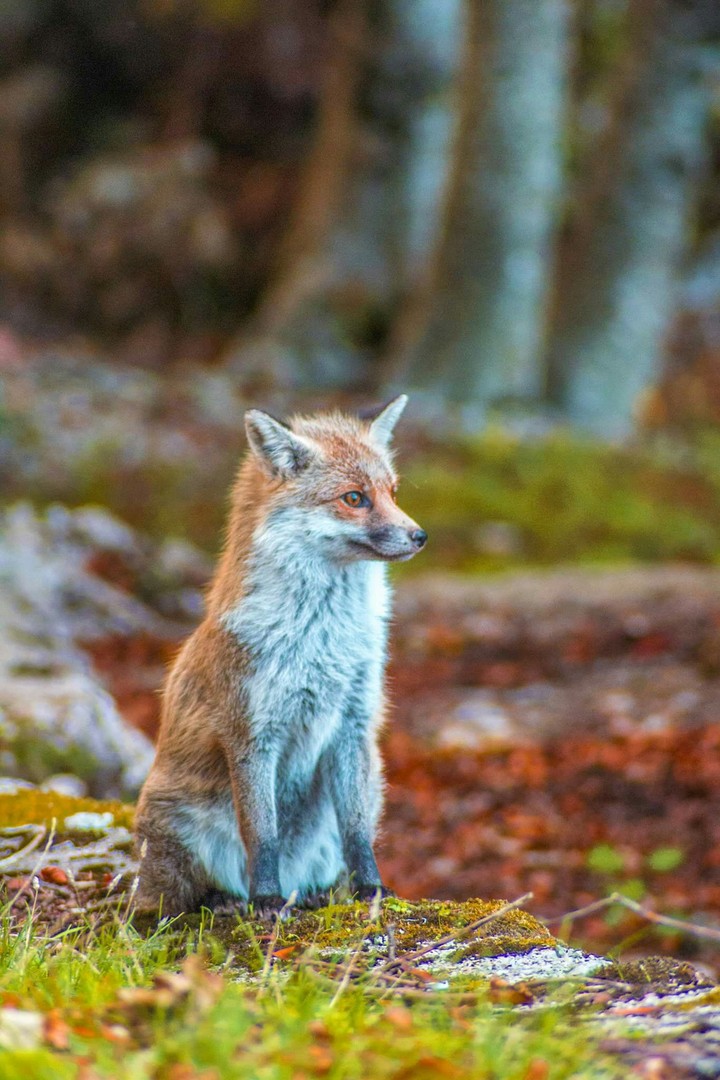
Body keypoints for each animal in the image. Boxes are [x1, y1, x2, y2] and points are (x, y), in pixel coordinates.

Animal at [134, 395, 427, 919]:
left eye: (392, 492)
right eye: (355, 498)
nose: (419, 536)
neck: (321, 639)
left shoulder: (354, 725)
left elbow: (357, 834)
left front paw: (372, 890)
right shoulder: (251, 732)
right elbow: (262, 833)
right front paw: (266, 899)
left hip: (366, 794)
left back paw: (311, 894)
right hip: (175, 832)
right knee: (170, 903)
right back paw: (227, 900)